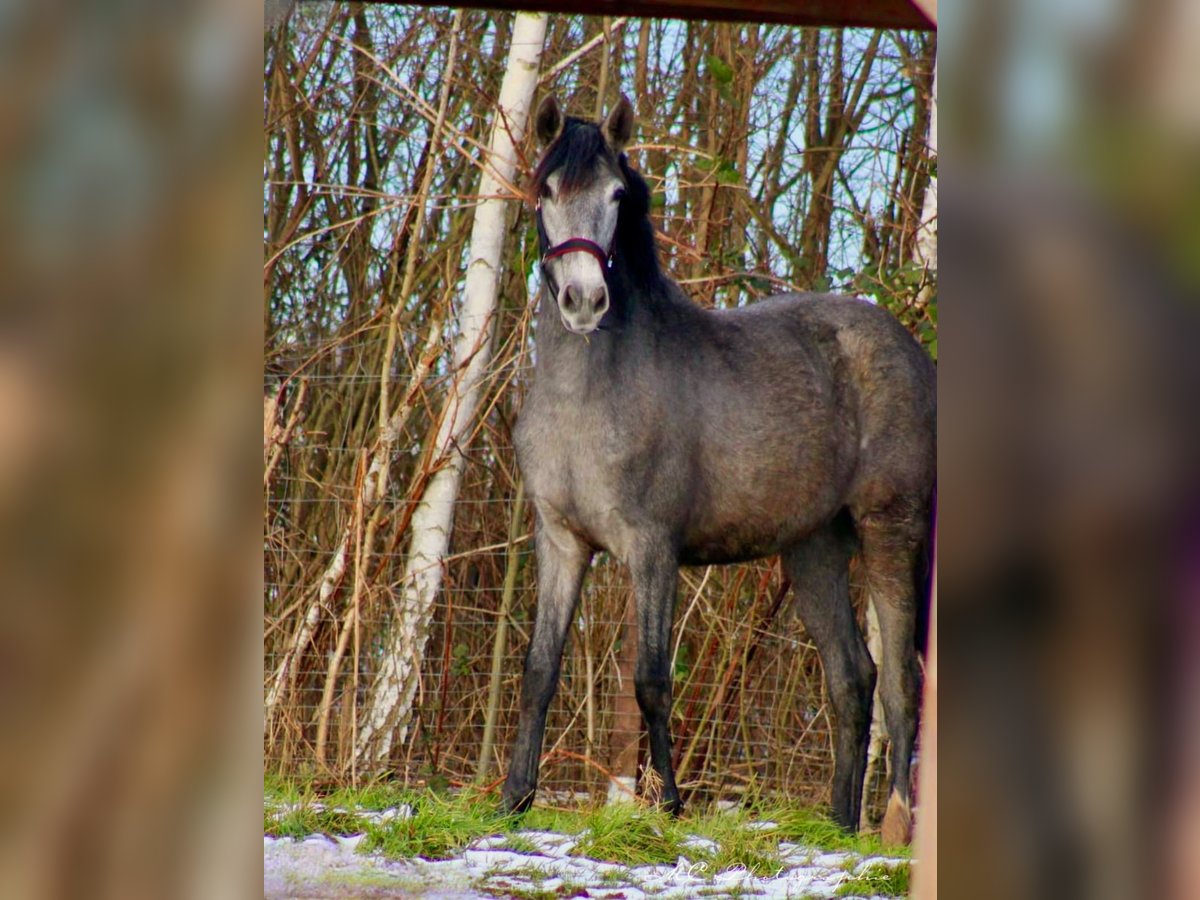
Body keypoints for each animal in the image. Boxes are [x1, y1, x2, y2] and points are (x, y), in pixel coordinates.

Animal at [501, 95, 931, 844]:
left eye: (615, 195)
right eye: (545, 190)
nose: (584, 301)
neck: (586, 396)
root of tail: (915, 356)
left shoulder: (652, 549)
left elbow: (651, 679)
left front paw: (670, 805)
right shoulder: (560, 542)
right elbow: (538, 669)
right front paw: (513, 799)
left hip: (890, 532)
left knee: (902, 680)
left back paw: (895, 825)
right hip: (814, 550)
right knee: (852, 679)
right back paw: (838, 827)